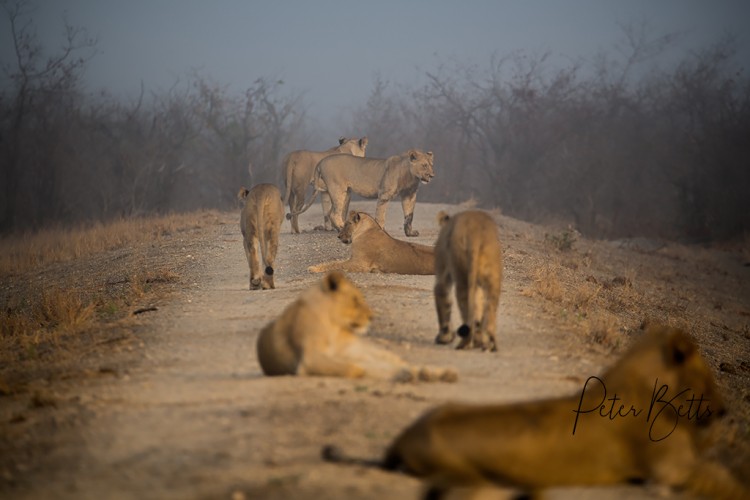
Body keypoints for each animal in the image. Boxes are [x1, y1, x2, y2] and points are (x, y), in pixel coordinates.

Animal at [258, 270, 458, 382]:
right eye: (355, 300)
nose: (372, 317)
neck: (333, 326)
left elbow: (365, 367)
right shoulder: (310, 359)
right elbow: (356, 369)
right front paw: (400, 375)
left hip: (374, 351)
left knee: (402, 362)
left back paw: (437, 373)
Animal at [288, 148, 434, 236]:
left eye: (432, 165)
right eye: (424, 165)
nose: (432, 176)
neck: (410, 175)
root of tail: (321, 161)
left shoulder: (409, 195)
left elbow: (409, 216)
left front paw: (410, 233)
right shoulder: (384, 195)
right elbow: (381, 216)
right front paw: (382, 231)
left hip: (343, 192)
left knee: (331, 213)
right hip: (338, 190)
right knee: (334, 213)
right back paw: (343, 228)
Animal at [308, 210, 438, 276]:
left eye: (347, 224)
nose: (338, 236)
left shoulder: (359, 263)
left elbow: (335, 265)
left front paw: (313, 269)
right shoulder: (353, 260)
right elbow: (333, 262)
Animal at [432, 209, 502, 350]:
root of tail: (476, 232)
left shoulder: (442, 274)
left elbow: (442, 298)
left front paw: (444, 337)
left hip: (462, 275)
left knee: (468, 311)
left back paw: (465, 344)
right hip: (492, 277)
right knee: (488, 309)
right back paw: (489, 343)